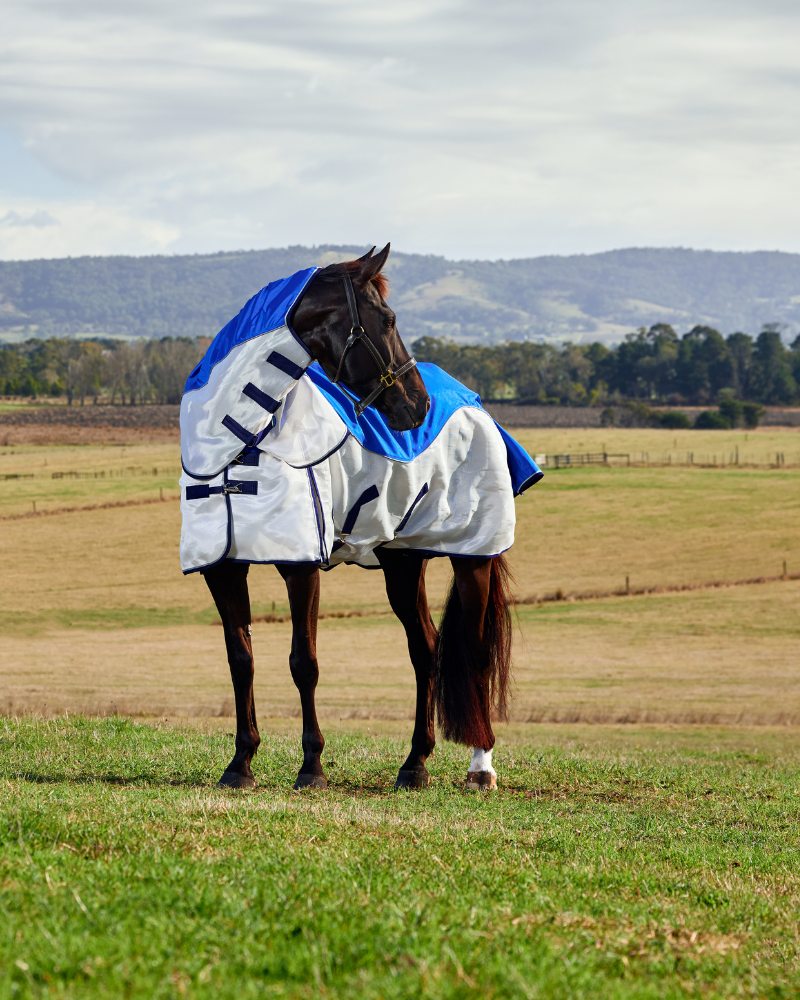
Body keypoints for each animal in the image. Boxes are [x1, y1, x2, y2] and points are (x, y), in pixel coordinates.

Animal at [180, 244, 540, 792]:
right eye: (387, 319)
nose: (418, 406)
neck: (236, 443)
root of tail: (475, 403)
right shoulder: (222, 567)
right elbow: (241, 659)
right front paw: (240, 764)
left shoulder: (300, 566)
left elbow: (303, 662)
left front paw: (311, 767)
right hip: (403, 561)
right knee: (425, 649)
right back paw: (414, 764)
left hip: (471, 556)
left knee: (474, 651)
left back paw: (481, 767)